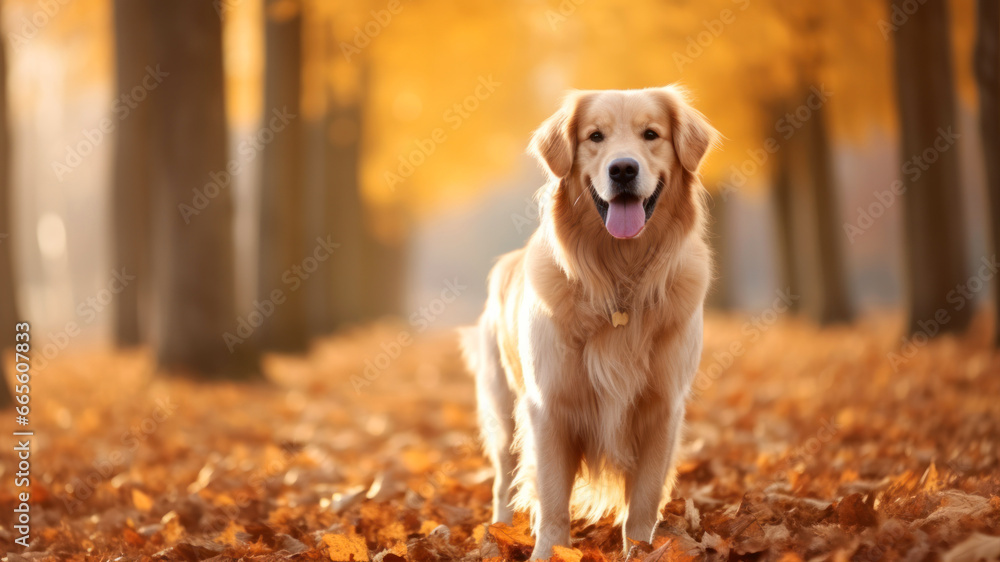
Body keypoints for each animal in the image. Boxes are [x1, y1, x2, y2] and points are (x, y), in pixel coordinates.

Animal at [464, 84, 716, 556]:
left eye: (651, 134)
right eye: (595, 136)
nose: (623, 169)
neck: (619, 279)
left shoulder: (662, 408)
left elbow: (643, 504)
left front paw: (641, 552)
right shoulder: (548, 407)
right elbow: (552, 503)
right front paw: (548, 553)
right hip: (501, 407)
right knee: (503, 481)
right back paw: (497, 532)